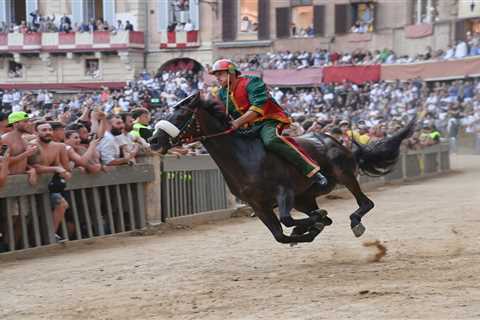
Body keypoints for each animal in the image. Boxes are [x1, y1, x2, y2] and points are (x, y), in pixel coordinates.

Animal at [151, 92, 416, 245]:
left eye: (180, 115)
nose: (153, 140)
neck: (243, 156)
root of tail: (337, 142)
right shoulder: (258, 205)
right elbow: (280, 234)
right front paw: (310, 228)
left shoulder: (284, 191)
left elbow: (287, 220)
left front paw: (311, 225)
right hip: (304, 197)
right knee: (321, 214)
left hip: (343, 175)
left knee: (365, 203)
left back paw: (354, 221)